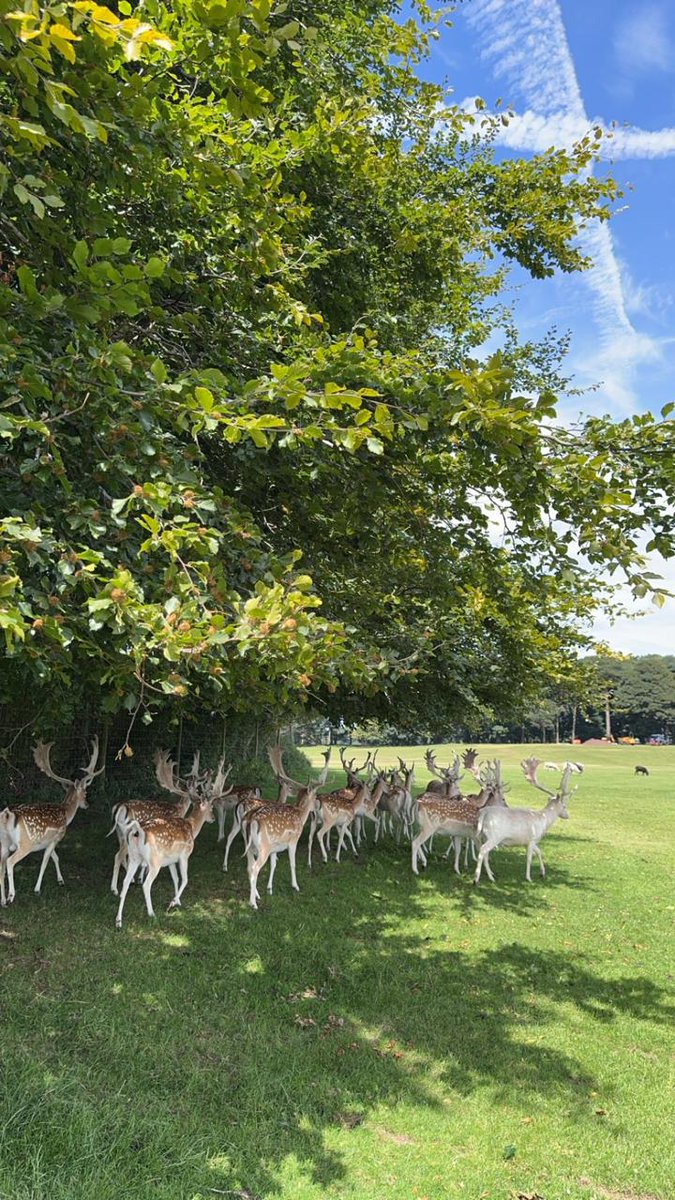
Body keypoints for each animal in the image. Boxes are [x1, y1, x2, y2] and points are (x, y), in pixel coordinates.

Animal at [1, 739, 103, 906]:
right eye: (85, 792)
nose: (87, 804)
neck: (66, 814)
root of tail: (7, 815)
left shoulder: (47, 841)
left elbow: (55, 857)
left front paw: (60, 880)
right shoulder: (57, 837)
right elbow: (45, 861)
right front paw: (37, 889)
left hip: (4, 842)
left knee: (1, 865)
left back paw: (2, 900)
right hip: (25, 844)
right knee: (9, 862)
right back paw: (11, 896)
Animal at [115, 793, 214, 928]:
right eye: (212, 807)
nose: (213, 818)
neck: (192, 827)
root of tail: (138, 832)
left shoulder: (171, 861)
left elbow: (175, 879)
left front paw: (178, 902)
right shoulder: (184, 856)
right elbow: (185, 879)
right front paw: (172, 903)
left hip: (134, 858)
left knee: (125, 882)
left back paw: (118, 921)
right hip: (154, 862)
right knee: (146, 884)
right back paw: (151, 913)